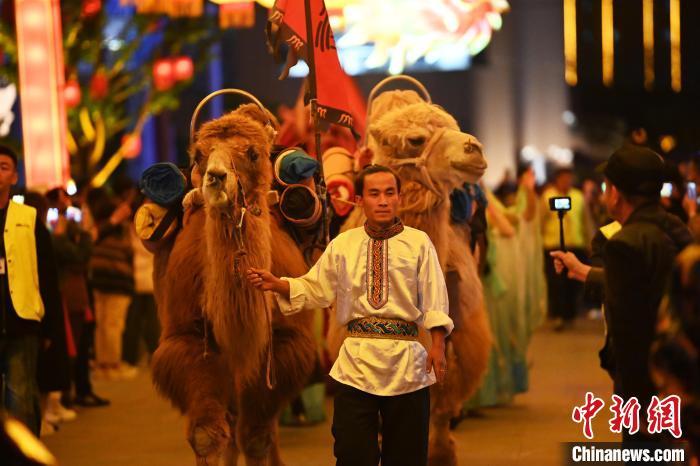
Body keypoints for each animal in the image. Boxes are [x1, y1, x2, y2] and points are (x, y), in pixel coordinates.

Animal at [154, 100, 320, 464]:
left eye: (253, 153)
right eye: (198, 154)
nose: (216, 177)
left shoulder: (284, 344)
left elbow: (256, 436)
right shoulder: (188, 338)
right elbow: (206, 435)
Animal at [338, 85, 494, 464]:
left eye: (453, 126)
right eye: (415, 139)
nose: (474, 148)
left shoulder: (456, 336)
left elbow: (440, 402)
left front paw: (442, 452)